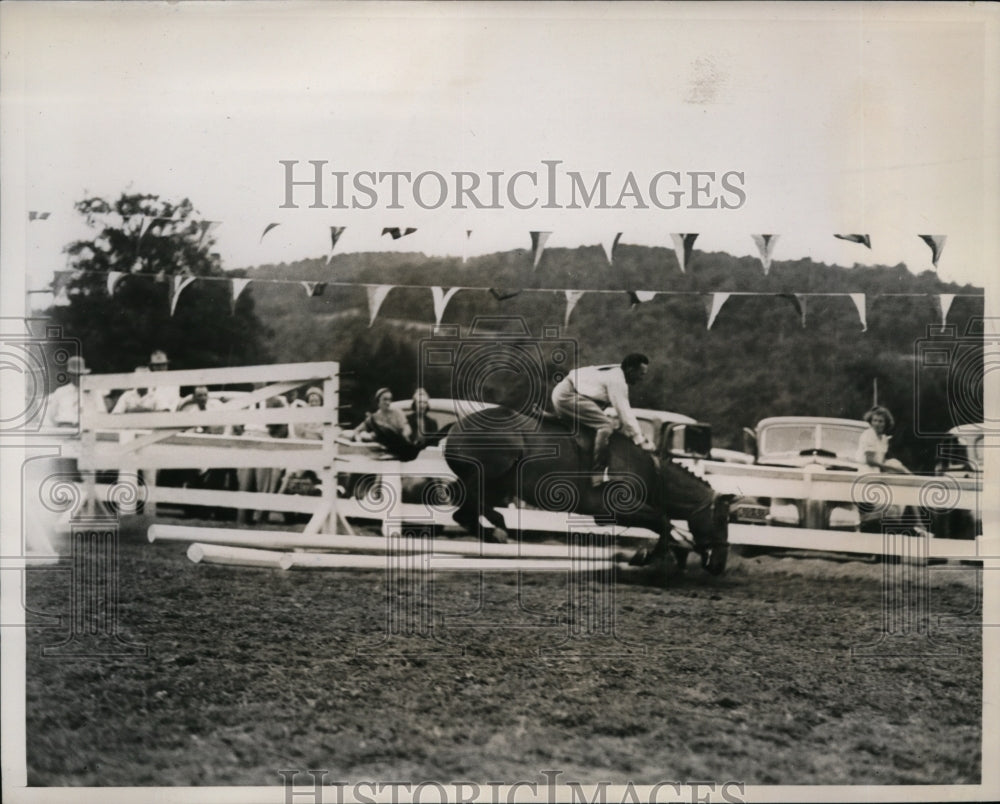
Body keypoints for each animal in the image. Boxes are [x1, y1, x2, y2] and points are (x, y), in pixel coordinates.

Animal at [442, 412, 732, 576]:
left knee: (466, 510)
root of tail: (454, 428)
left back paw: (497, 530)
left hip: (498, 484)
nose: (720, 564)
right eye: (721, 520)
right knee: (467, 507)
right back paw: (498, 531)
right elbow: (663, 521)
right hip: (492, 472)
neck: (652, 471)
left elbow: (665, 524)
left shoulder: (613, 515)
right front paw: (646, 556)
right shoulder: (616, 508)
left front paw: (676, 554)